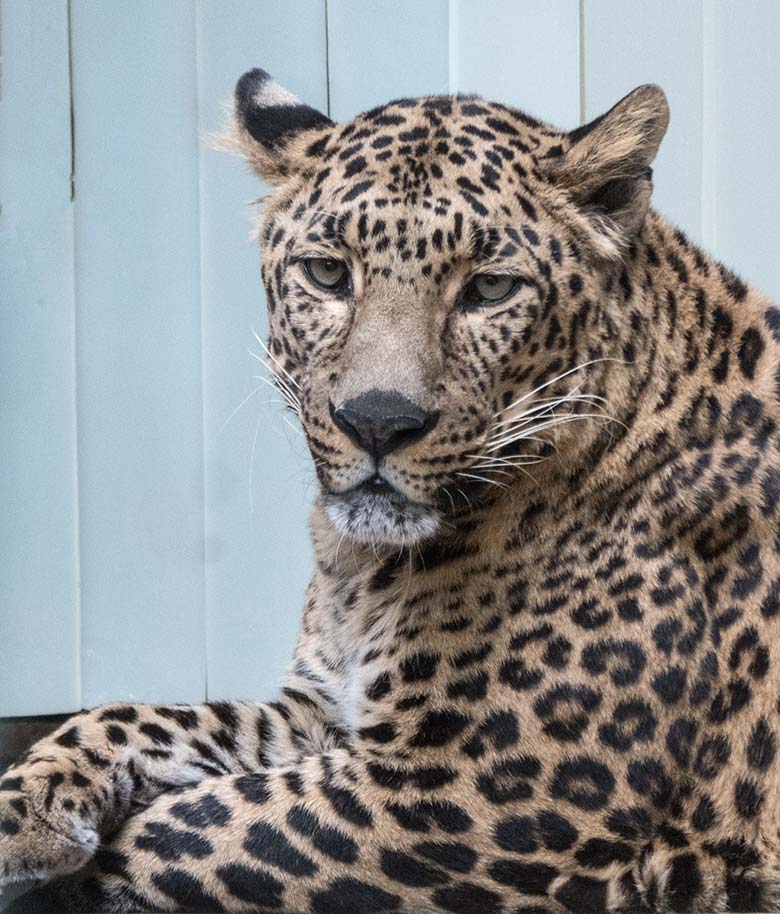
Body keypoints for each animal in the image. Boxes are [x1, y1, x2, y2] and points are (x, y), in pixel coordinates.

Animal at [4, 66, 780, 912]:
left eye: (489, 289)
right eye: (328, 274)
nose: (377, 421)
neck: (363, 568)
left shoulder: (469, 793)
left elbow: (187, 831)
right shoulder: (325, 710)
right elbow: (146, 717)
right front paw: (25, 807)